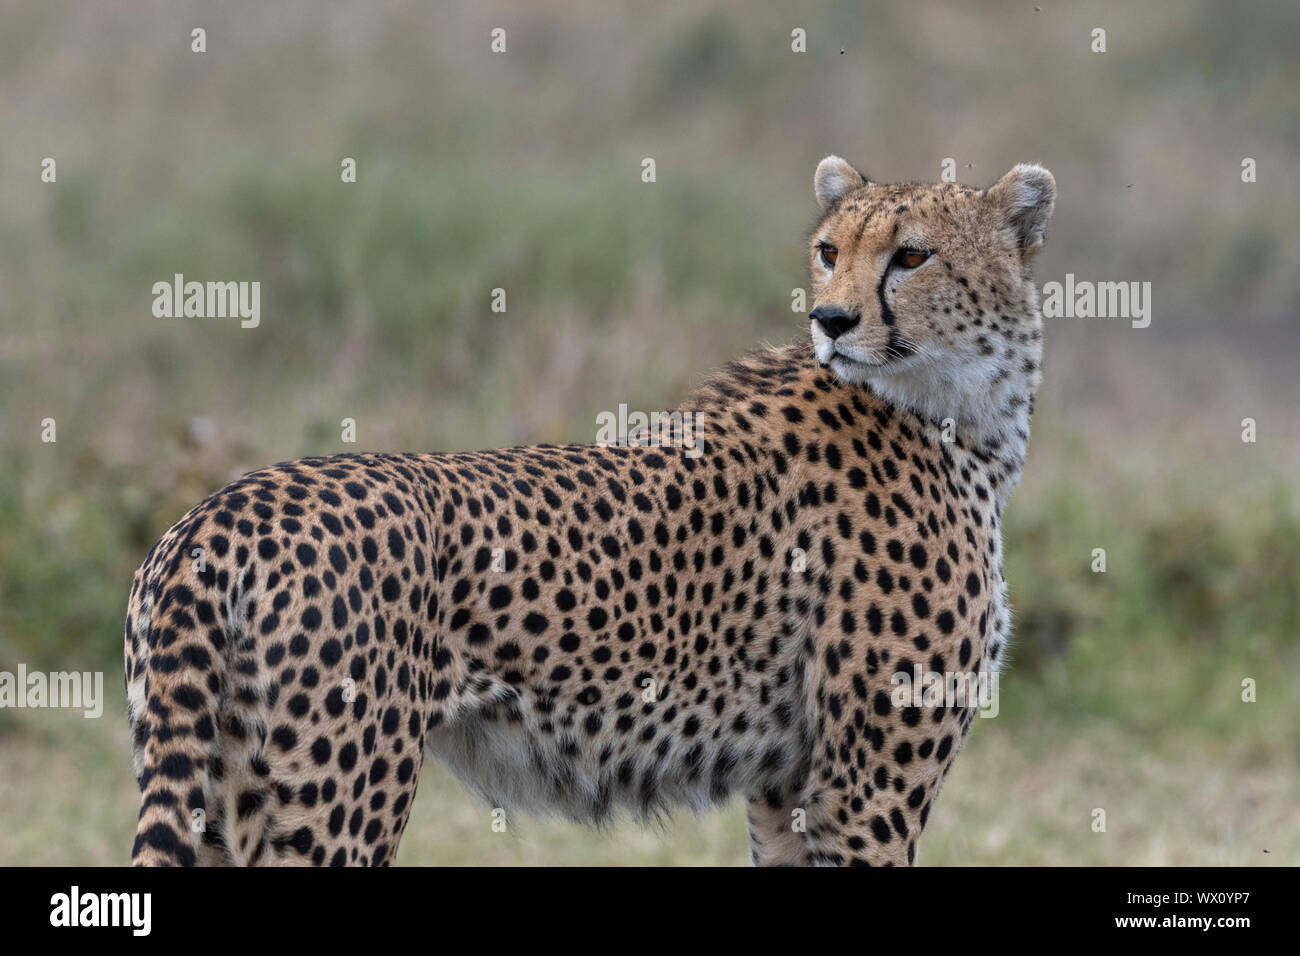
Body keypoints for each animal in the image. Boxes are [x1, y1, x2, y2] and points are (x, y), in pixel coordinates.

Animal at [126, 157, 1050, 868]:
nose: (832, 318)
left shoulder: (789, 786)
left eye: (913, 255)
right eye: (829, 251)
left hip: (216, 788)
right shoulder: (864, 790)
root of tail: (223, 508)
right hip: (335, 801)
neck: (960, 410)